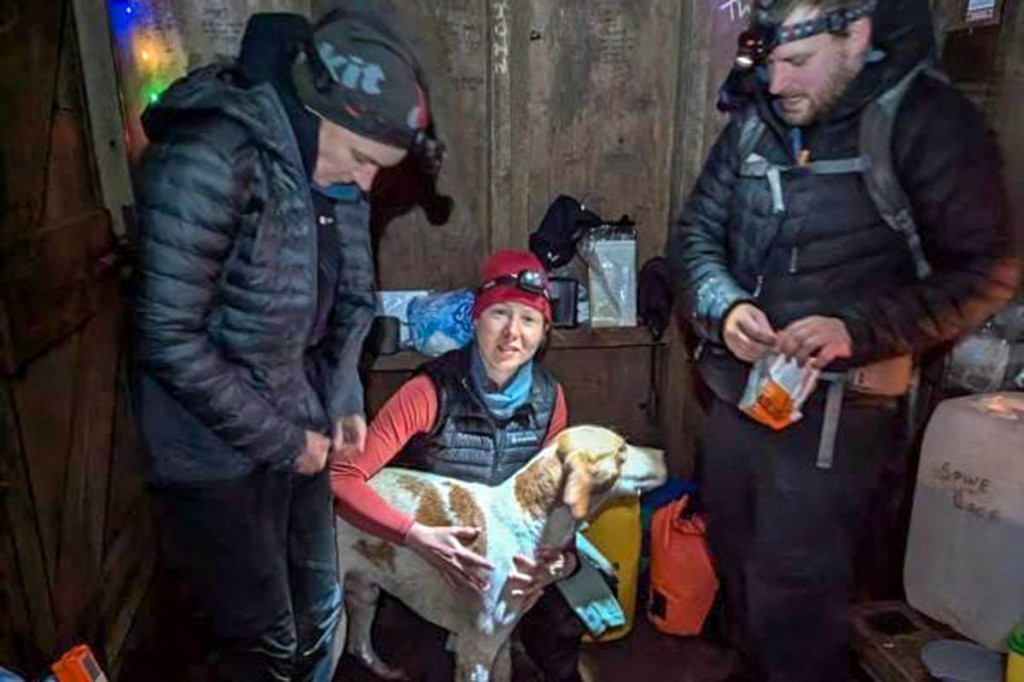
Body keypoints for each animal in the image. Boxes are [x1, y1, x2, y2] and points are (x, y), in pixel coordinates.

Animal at [335, 425, 667, 679]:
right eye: (622, 450)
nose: (663, 454)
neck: (530, 520)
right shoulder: (476, 651)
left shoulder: (501, 643)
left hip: (364, 594)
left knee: (360, 646)